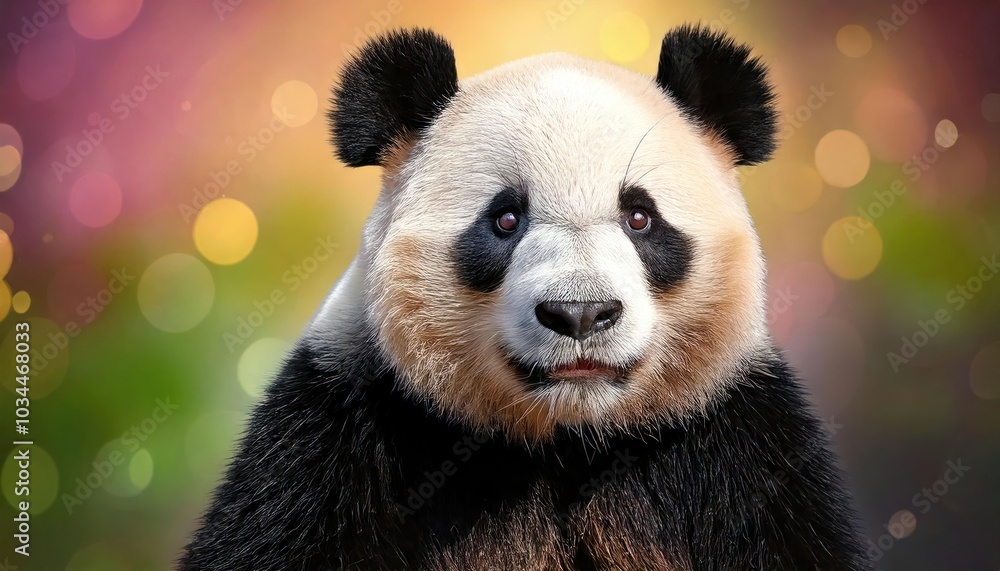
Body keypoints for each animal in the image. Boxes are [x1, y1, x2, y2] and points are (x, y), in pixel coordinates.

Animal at [180, 26, 872, 571]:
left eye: (640, 218)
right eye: (505, 219)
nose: (580, 313)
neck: (567, 443)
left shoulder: (737, 456)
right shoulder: (340, 441)